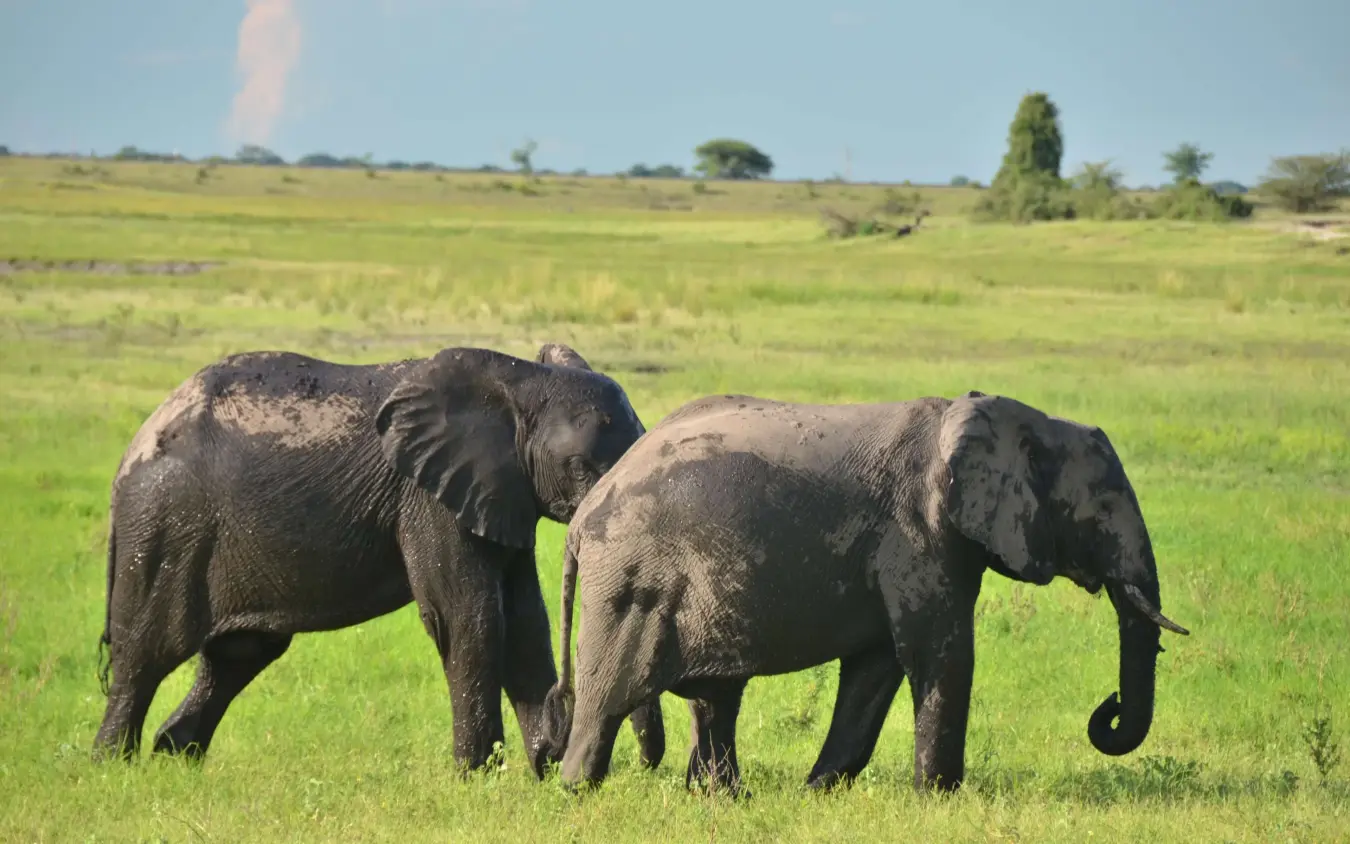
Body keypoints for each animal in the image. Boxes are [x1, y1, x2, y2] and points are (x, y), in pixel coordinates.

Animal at [92, 342, 666, 778]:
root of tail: (134, 445)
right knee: (145, 650)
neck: (522, 380)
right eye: (580, 466)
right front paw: (478, 776)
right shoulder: (428, 496)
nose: (643, 767)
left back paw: (175, 756)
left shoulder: (502, 490)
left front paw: (538, 772)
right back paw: (112, 767)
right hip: (166, 523)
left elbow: (525, 622)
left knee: (238, 655)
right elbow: (469, 618)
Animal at [543, 390, 1189, 794]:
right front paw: (940, 800)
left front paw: (817, 792)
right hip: (631, 582)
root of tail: (583, 517)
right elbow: (940, 656)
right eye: (1102, 510)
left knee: (716, 700)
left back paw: (723, 798)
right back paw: (578, 790)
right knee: (610, 698)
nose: (1107, 707)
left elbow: (876, 669)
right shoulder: (919, 533)